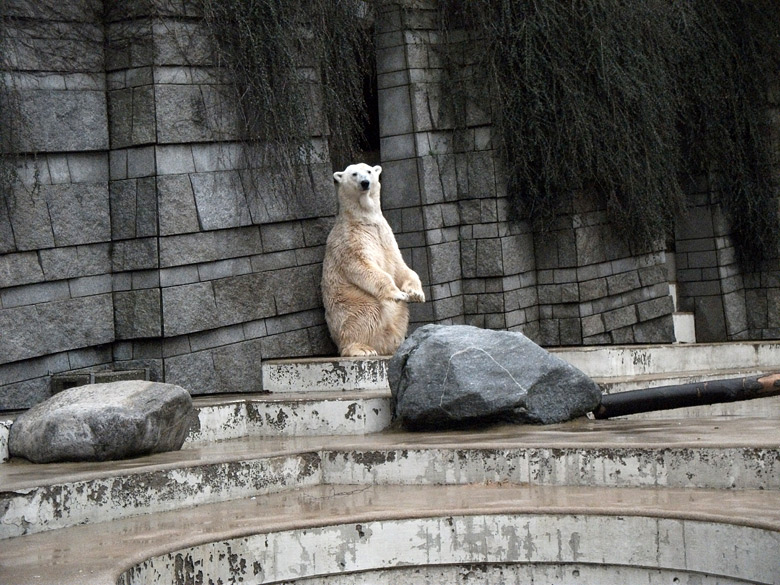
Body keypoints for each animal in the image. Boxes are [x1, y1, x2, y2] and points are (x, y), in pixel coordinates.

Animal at [320, 163, 424, 356]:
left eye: (368, 171)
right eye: (354, 174)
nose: (365, 183)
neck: (364, 220)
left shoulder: (386, 236)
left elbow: (400, 266)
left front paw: (416, 294)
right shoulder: (351, 240)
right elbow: (363, 266)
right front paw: (398, 294)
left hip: (398, 316)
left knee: (399, 317)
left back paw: (397, 344)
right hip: (352, 302)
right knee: (365, 315)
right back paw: (363, 348)